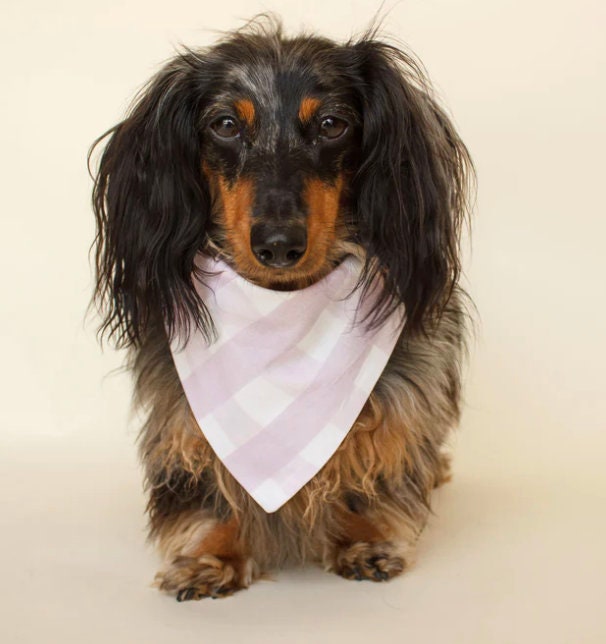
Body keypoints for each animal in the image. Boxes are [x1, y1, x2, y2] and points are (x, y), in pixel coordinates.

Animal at [91, 20, 476, 604]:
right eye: (225, 124)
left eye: (332, 124)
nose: (278, 245)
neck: (282, 306)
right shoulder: (181, 409)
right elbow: (205, 469)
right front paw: (212, 553)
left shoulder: (404, 387)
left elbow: (377, 445)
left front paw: (364, 536)